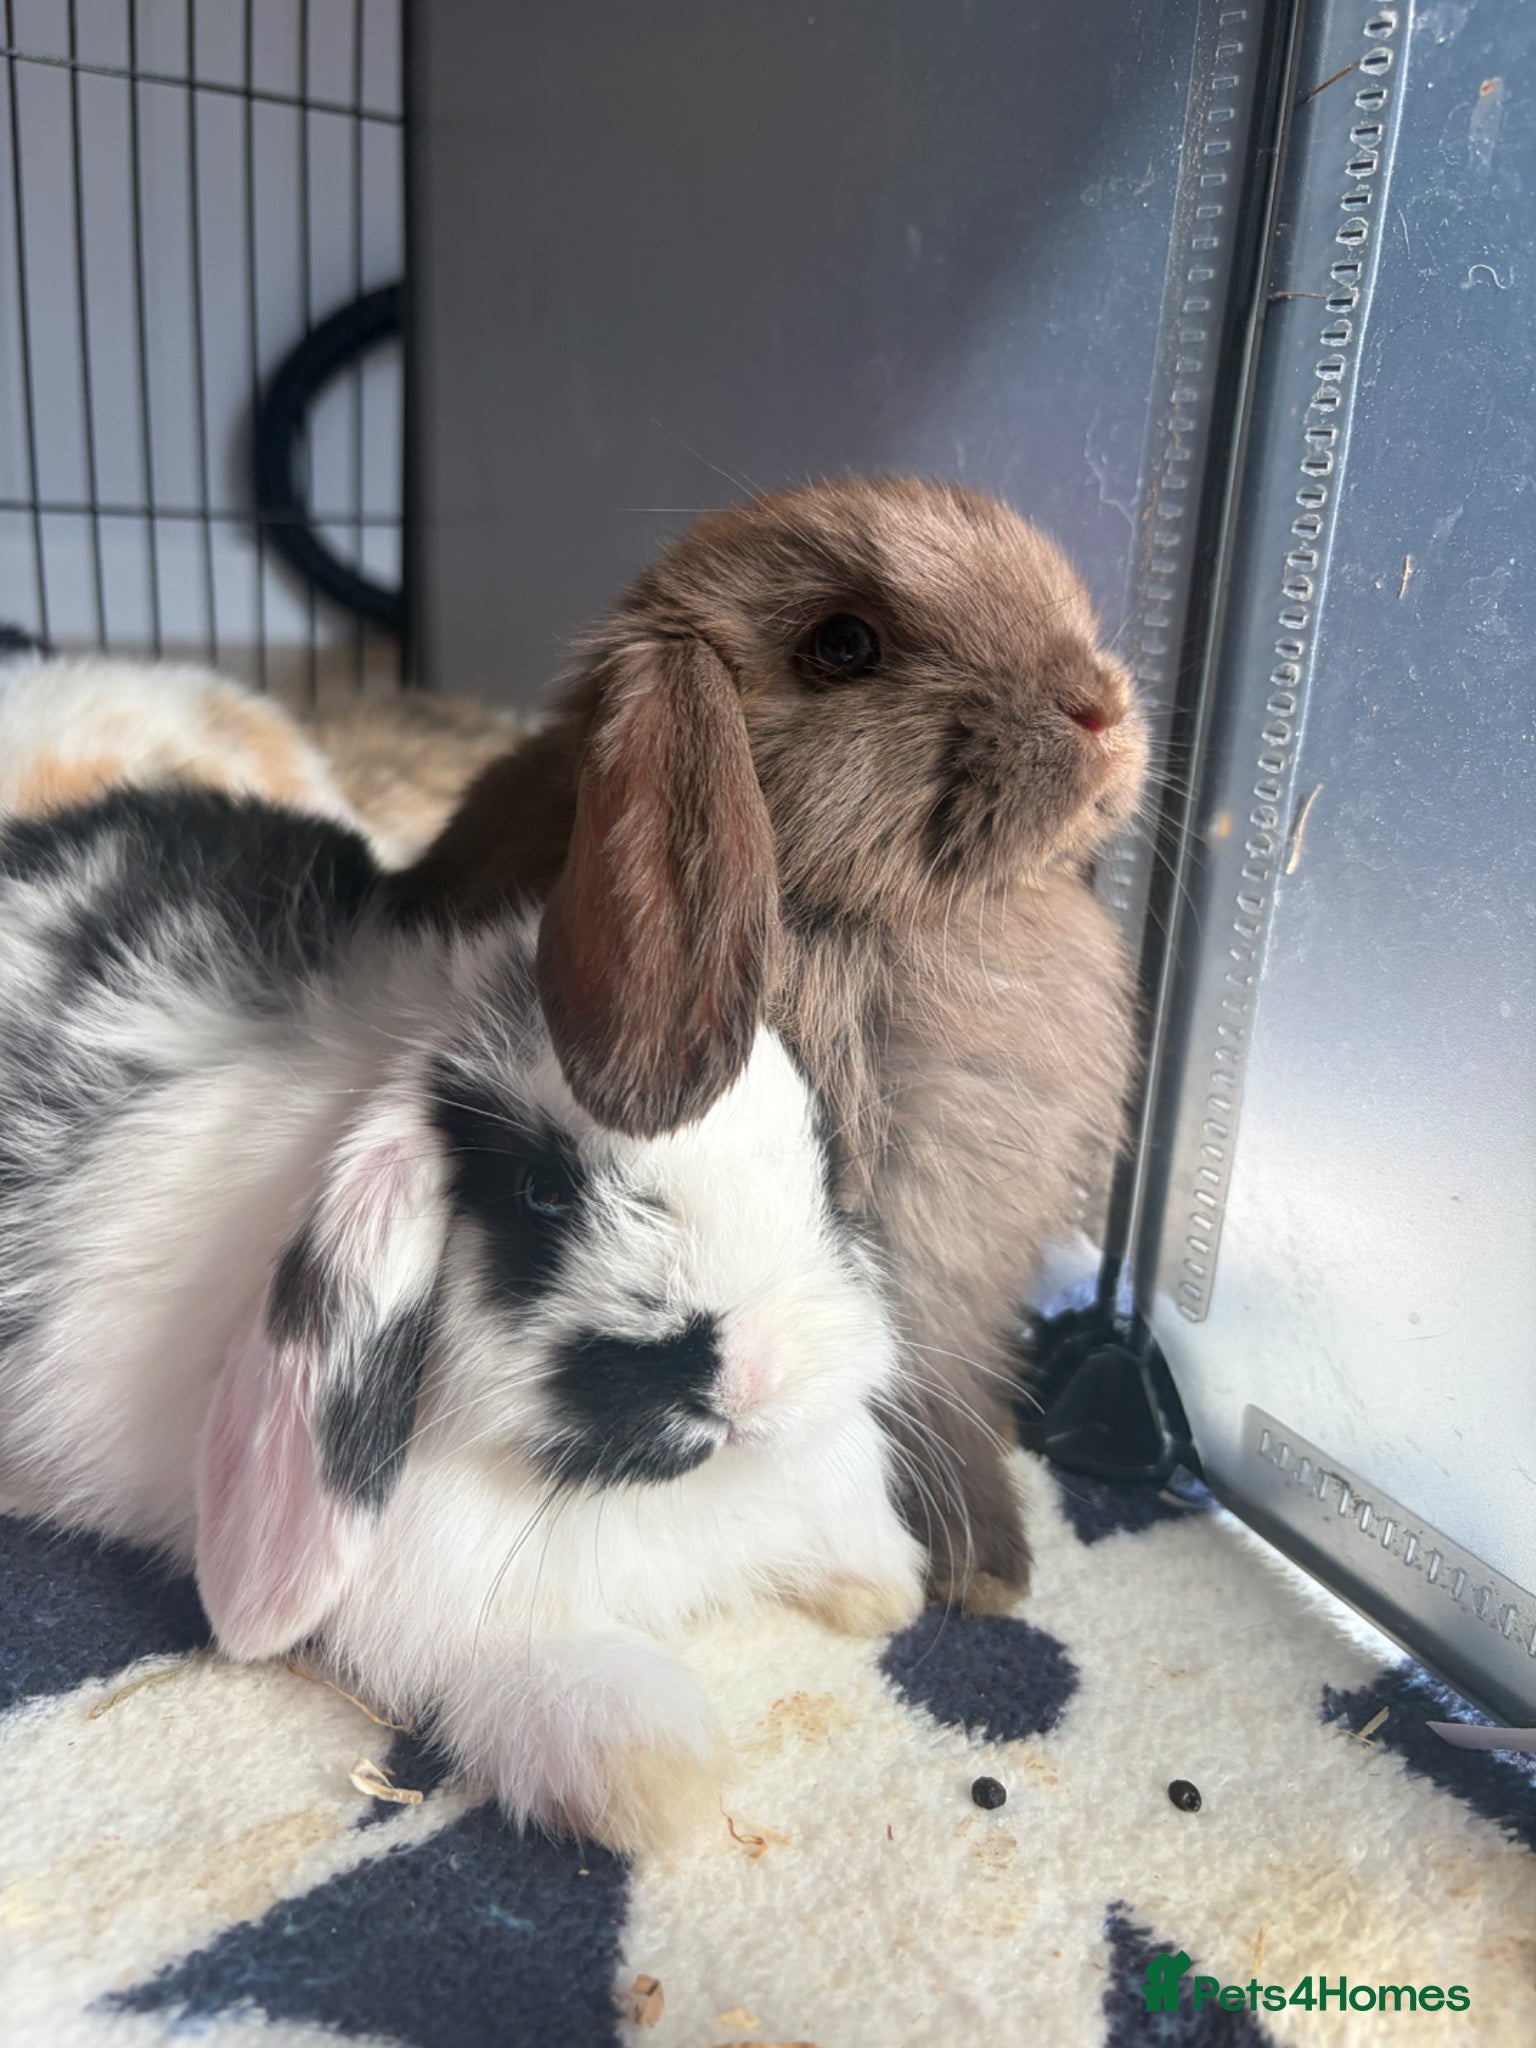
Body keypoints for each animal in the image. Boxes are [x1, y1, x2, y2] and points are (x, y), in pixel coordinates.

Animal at [0, 783, 923, 1851]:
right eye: (541, 1195)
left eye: (821, 1150)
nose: (759, 1377)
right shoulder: (479, 1619)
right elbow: (577, 1691)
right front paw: (665, 1786)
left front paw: (886, 1591)